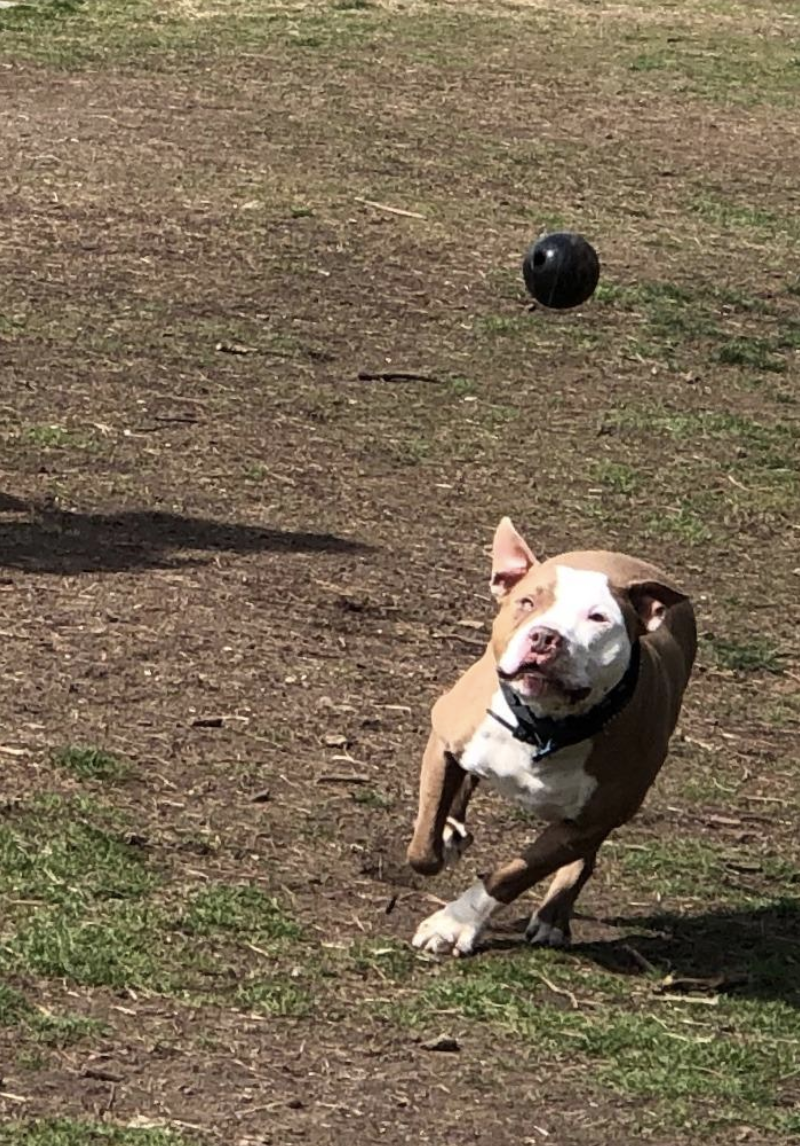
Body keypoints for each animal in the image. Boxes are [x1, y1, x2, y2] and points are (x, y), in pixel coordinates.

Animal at [405, 520, 692, 958]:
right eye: (527, 602)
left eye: (598, 618)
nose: (544, 637)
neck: (545, 728)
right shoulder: (444, 740)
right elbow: (423, 846)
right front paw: (442, 836)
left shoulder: (588, 822)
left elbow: (515, 873)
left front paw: (454, 922)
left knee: (583, 862)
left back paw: (554, 917)